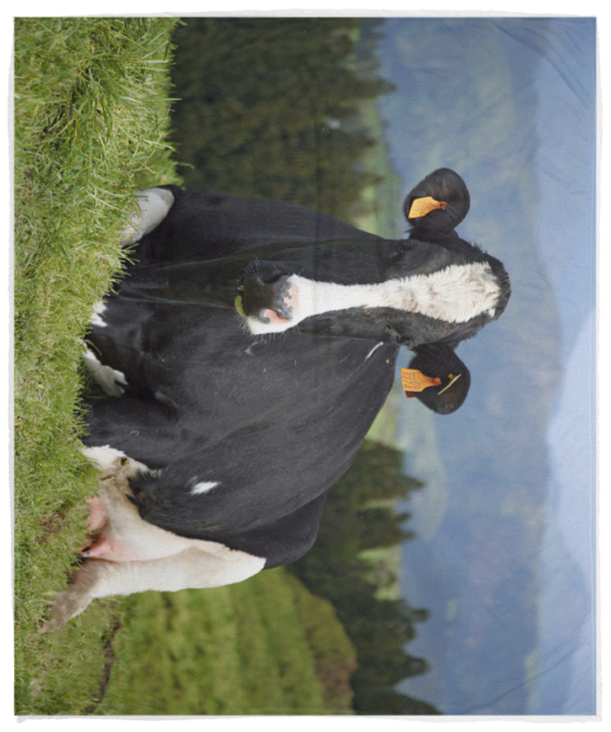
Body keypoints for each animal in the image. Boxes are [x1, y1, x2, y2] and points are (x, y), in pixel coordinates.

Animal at [41, 168, 510, 631]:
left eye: (402, 336)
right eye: (400, 250)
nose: (277, 297)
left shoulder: (174, 432)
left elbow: (92, 415)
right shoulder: (178, 201)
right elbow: (110, 236)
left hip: (236, 560)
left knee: (111, 573)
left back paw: (56, 604)